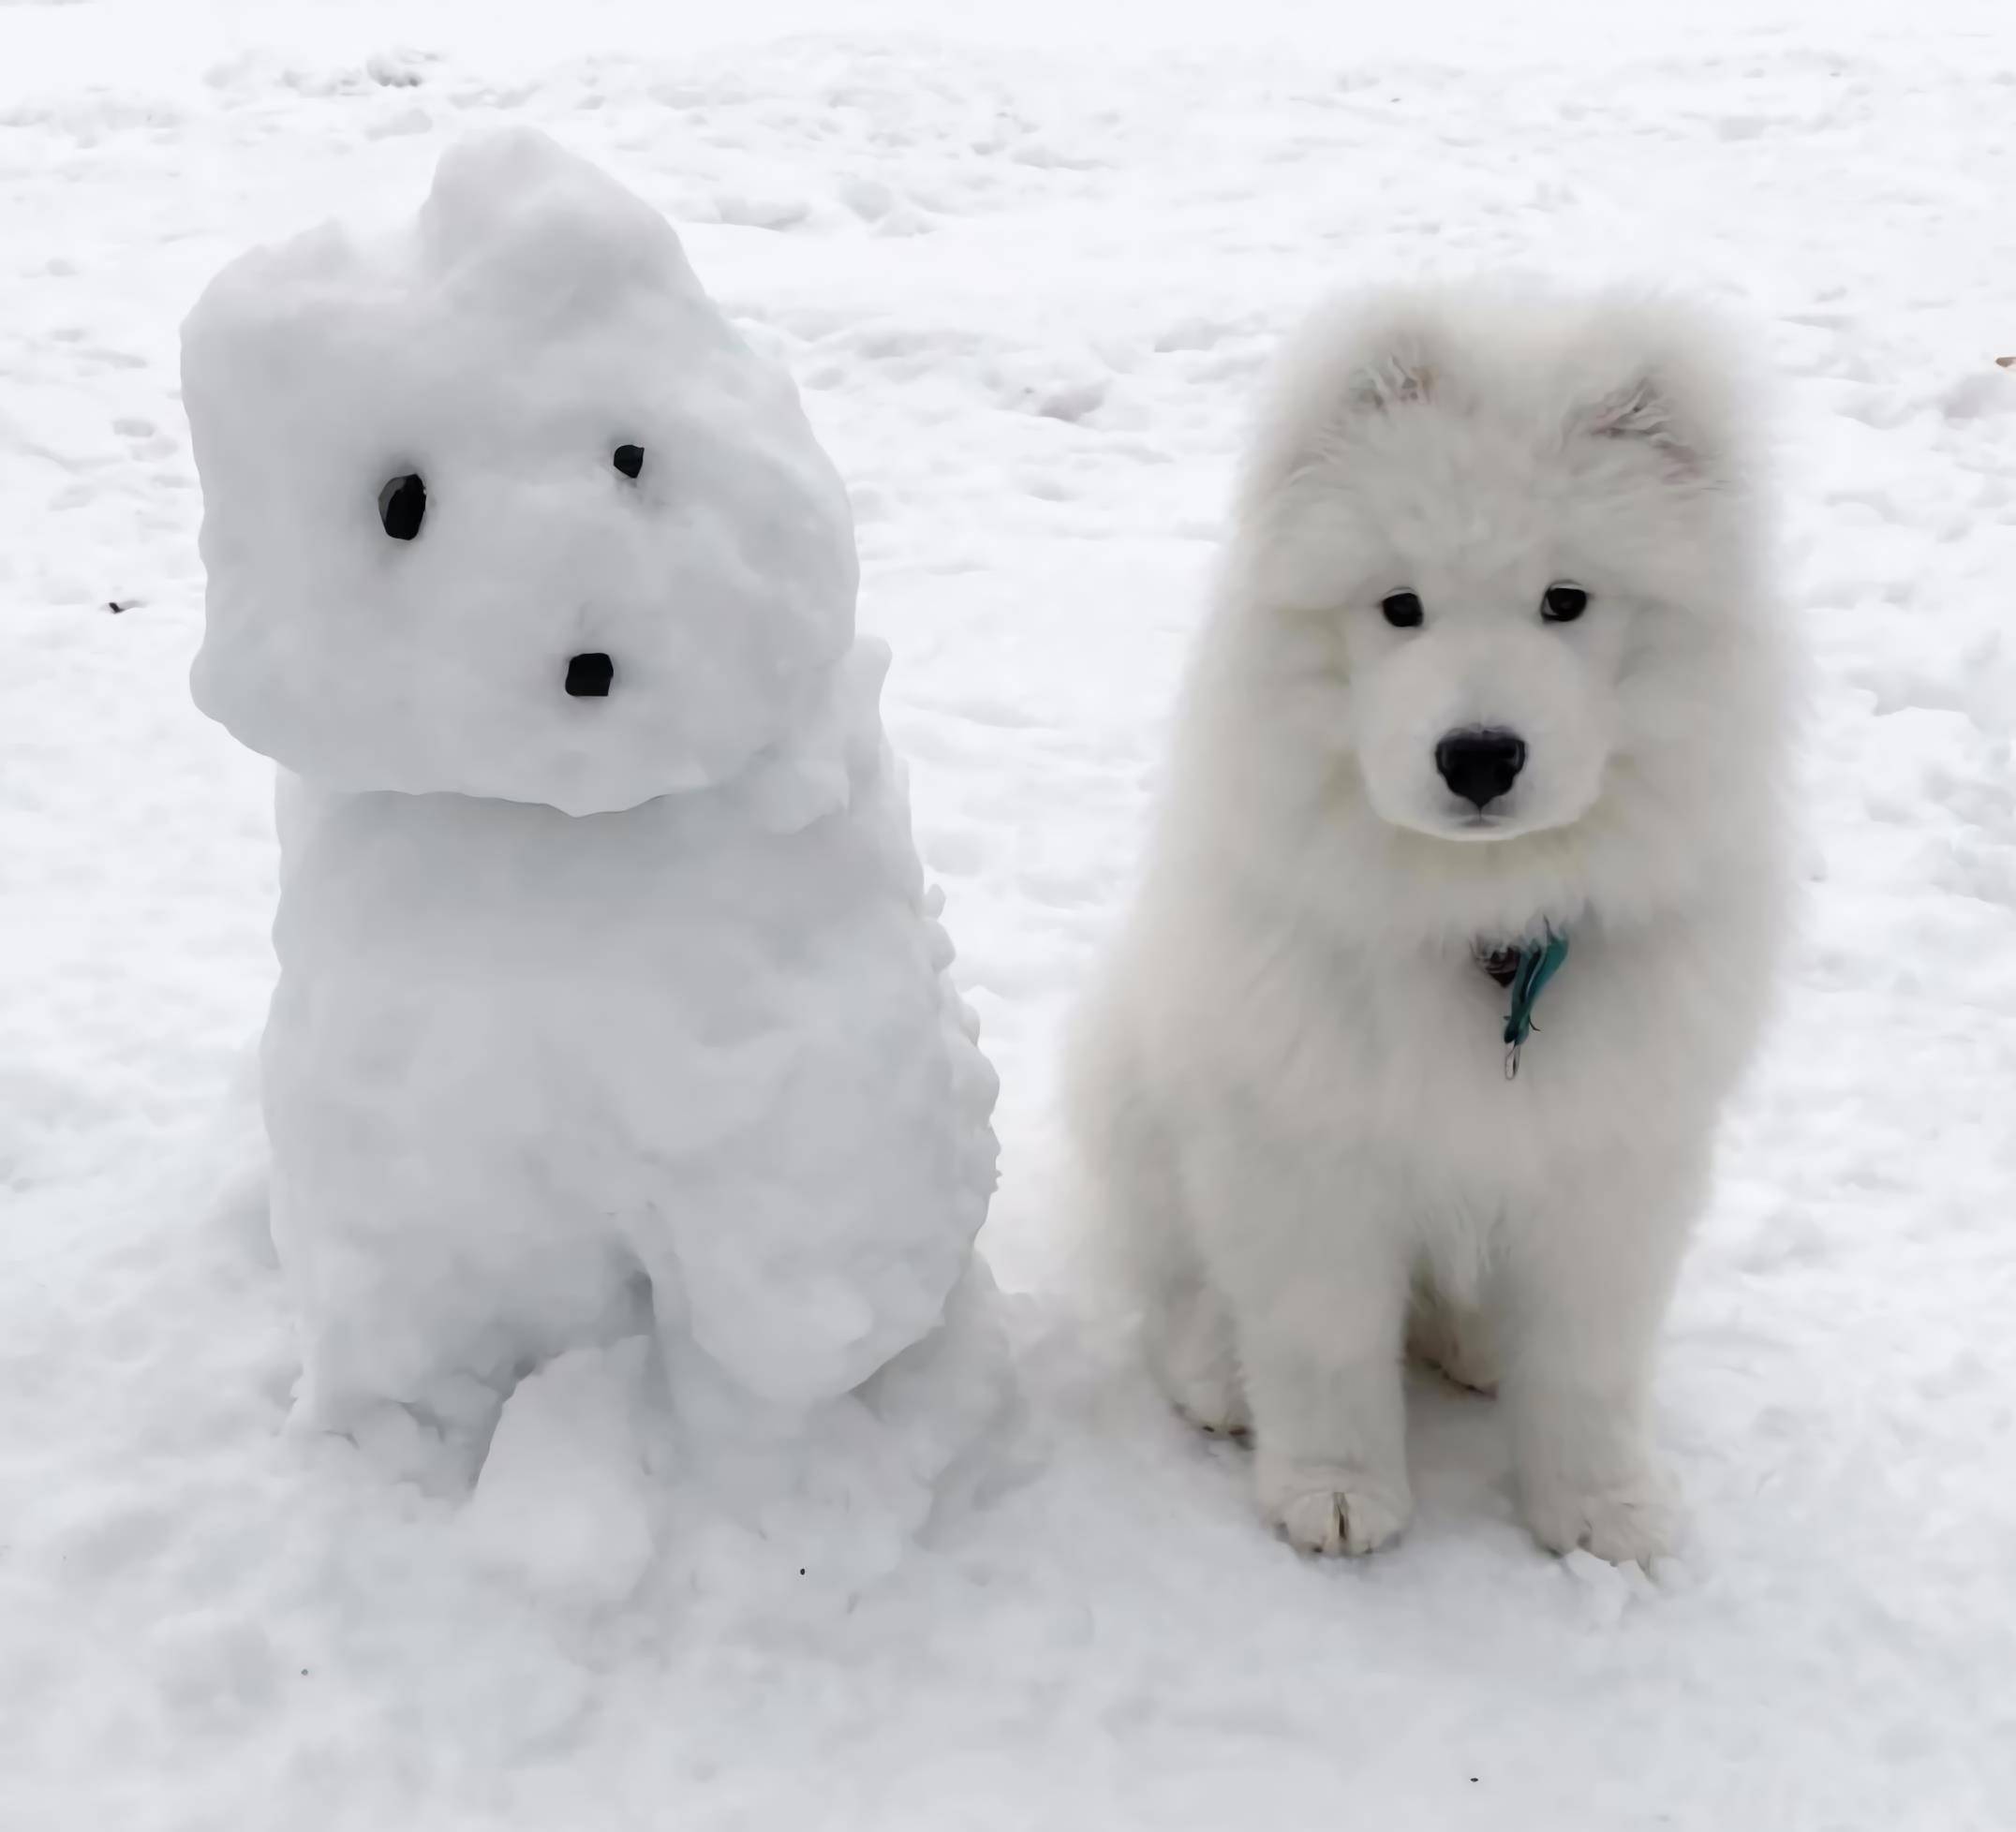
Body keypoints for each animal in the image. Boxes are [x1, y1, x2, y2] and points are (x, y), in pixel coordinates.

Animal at [1072, 282, 1798, 1556]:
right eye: (1398, 608)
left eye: (1566, 602)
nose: (1478, 756)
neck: (1484, 917)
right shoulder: (1305, 1150)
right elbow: (1321, 1343)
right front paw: (1335, 1494)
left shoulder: (1609, 1162)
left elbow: (1589, 1367)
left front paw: (1600, 1513)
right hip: (1139, 1091)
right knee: (1180, 1289)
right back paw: (1218, 1380)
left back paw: (1475, 1349)